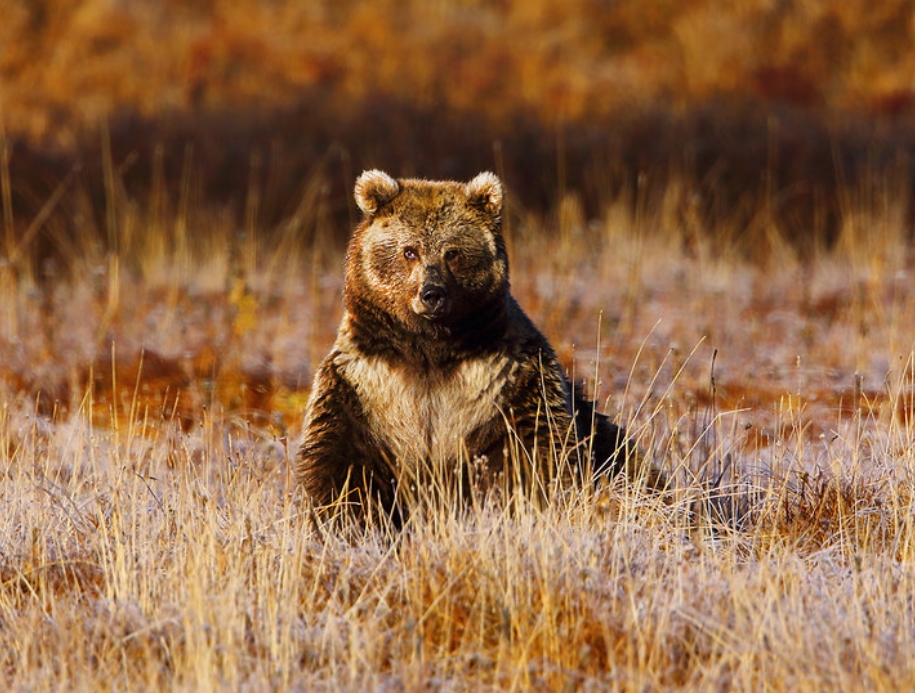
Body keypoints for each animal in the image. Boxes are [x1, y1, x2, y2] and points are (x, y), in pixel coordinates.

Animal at [296, 170, 659, 523]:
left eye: (452, 252)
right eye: (409, 250)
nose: (432, 294)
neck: (429, 349)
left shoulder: (506, 382)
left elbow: (536, 450)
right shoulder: (363, 387)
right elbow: (340, 463)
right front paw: (345, 518)